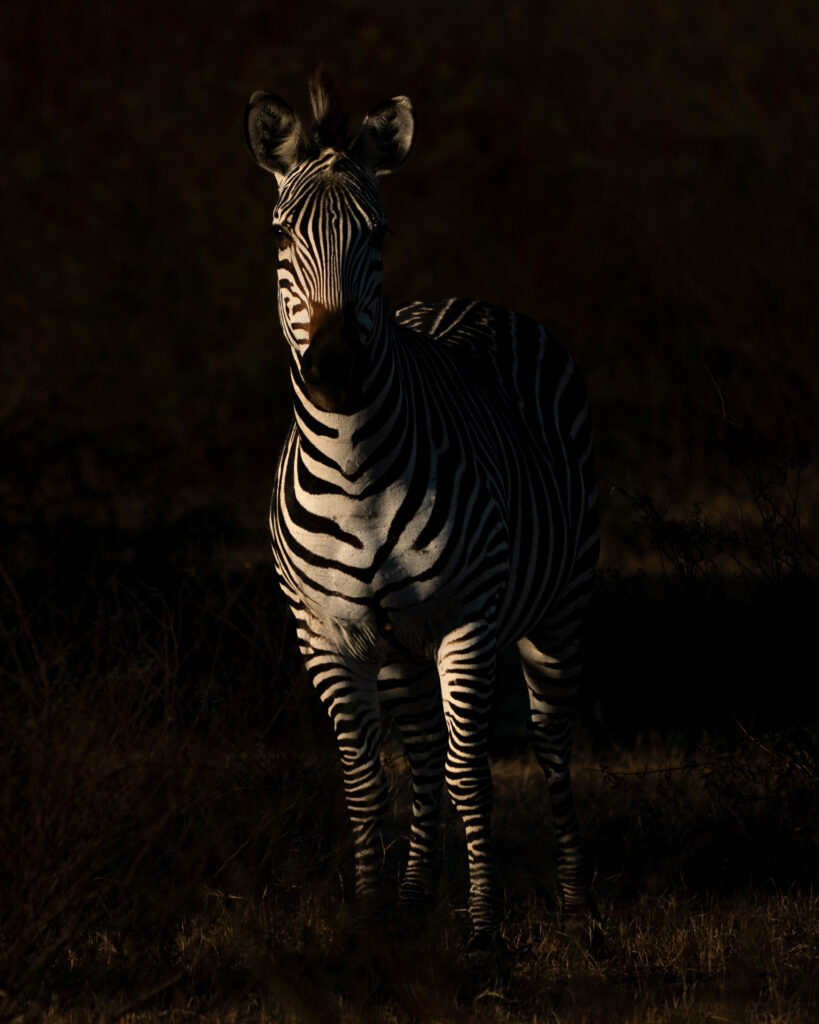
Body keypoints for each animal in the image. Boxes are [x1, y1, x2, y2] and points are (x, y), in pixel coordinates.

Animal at [244, 72, 600, 948]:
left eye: (377, 236)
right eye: (280, 237)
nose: (336, 370)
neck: (353, 465)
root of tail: (464, 299)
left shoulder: (464, 620)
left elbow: (472, 775)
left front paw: (482, 929)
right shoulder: (327, 634)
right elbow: (367, 782)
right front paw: (374, 921)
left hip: (559, 606)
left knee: (548, 742)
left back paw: (576, 901)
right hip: (400, 646)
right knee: (421, 748)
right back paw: (412, 895)